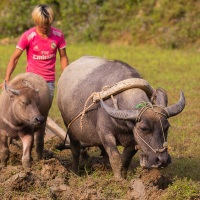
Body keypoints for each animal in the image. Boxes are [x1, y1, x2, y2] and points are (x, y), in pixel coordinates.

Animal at [57, 55, 185, 180]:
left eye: (166, 127)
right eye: (143, 129)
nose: (163, 160)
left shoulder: (133, 140)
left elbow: (125, 159)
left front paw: (124, 178)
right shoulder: (106, 133)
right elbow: (115, 157)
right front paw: (118, 180)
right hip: (69, 126)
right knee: (75, 149)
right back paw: (74, 172)